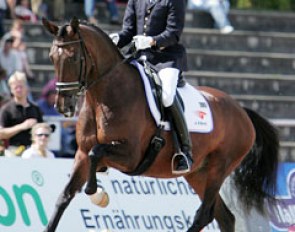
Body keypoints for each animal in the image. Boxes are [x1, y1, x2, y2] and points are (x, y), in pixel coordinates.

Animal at [41, 17, 280, 232]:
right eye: (51, 57)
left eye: (73, 58)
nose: (63, 106)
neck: (104, 98)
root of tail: (242, 111)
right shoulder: (81, 153)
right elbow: (64, 196)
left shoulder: (131, 156)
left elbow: (97, 153)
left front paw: (95, 191)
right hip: (198, 173)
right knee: (225, 217)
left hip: (219, 168)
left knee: (204, 215)